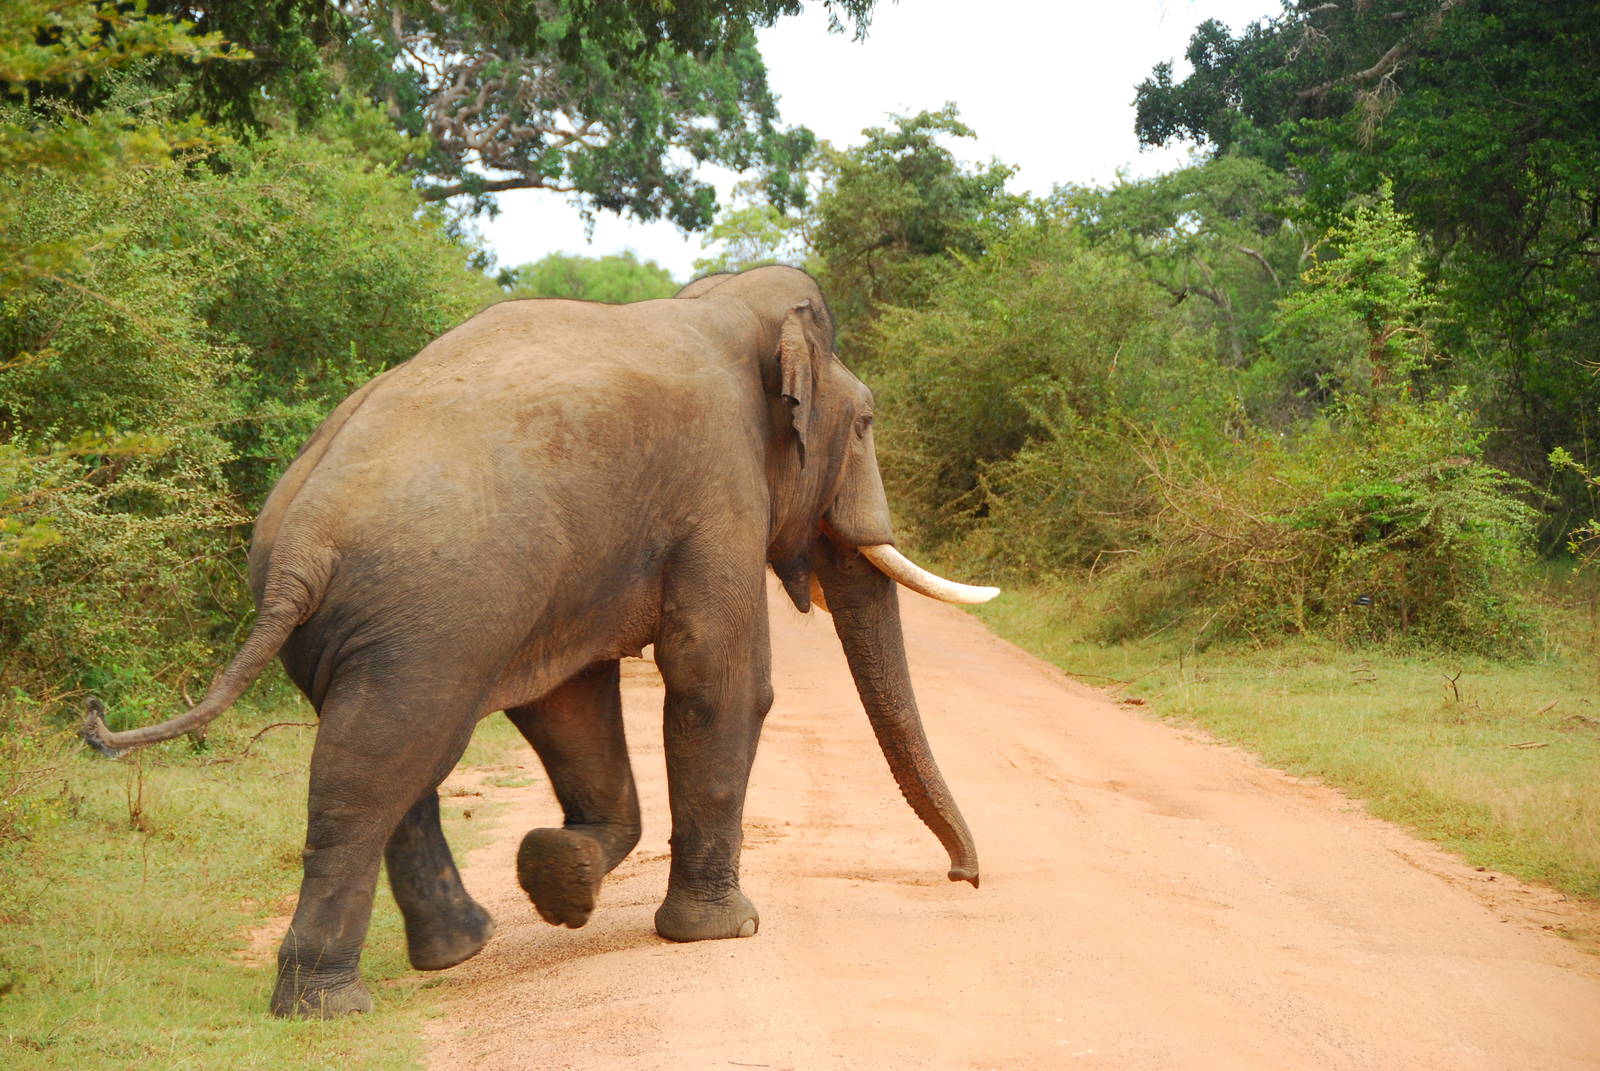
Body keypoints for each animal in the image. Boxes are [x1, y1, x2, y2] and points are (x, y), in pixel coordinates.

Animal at [83, 265, 996, 1018]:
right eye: (868, 421)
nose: (964, 877)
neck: (726, 305)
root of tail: (298, 547)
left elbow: (571, 702)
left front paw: (561, 877)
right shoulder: (719, 489)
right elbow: (718, 678)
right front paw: (722, 931)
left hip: (386, 625)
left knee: (390, 758)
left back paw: (458, 949)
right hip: (429, 614)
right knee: (376, 768)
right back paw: (331, 1004)